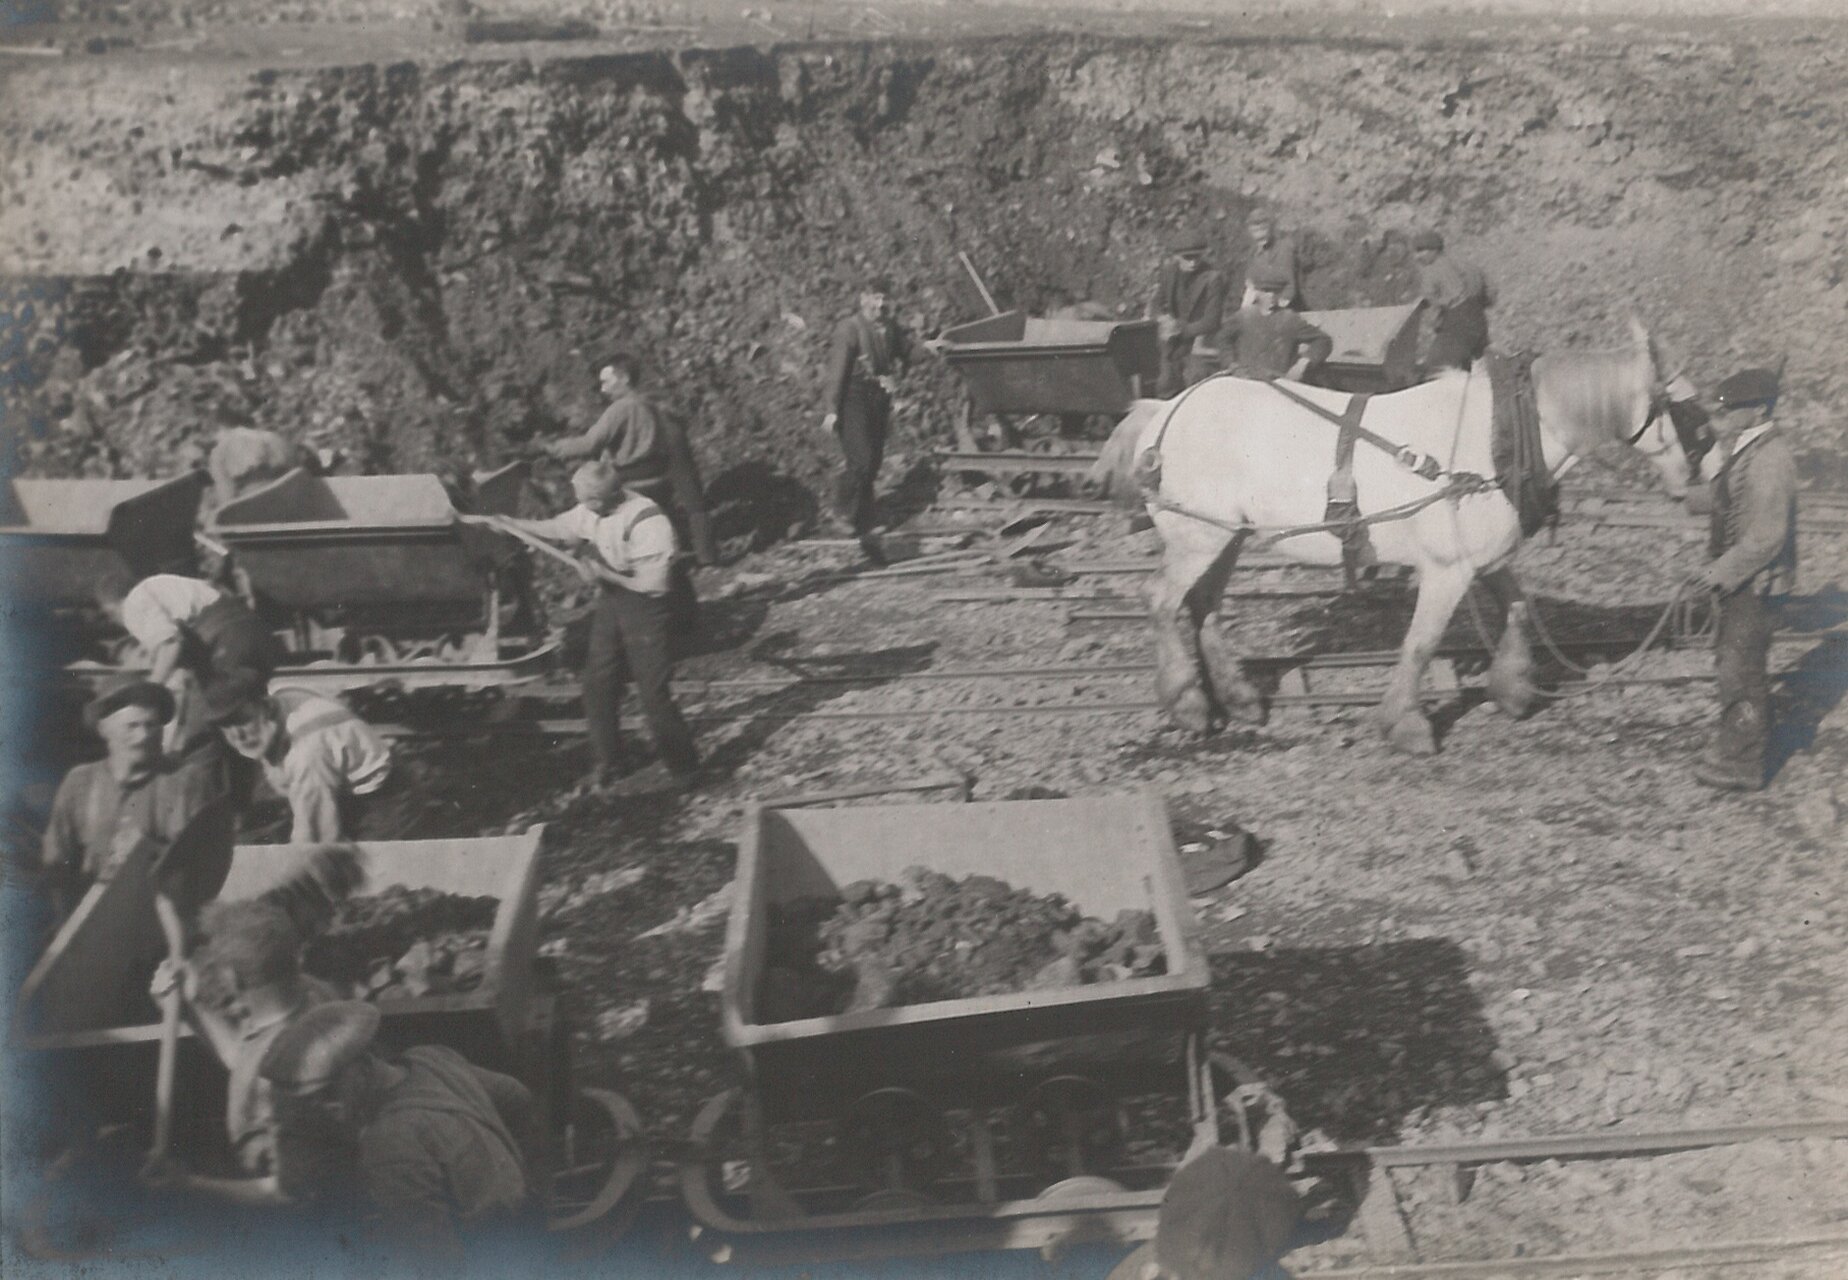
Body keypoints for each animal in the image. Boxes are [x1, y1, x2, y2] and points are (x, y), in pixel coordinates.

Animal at [1116, 321, 1692, 749]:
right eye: (1673, 403)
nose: (1692, 478)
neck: (1494, 439)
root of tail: (1166, 410)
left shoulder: (1484, 560)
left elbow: (1517, 608)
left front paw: (1513, 688)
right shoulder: (1447, 569)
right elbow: (1420, 643)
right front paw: (1406, 724)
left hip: (1227, 537)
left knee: (1204, 607)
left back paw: (1237, 699)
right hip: (1198, 539)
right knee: (1161, 600)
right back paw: (1188, 703)